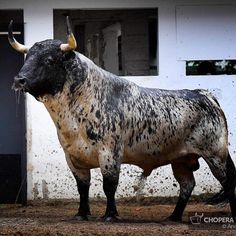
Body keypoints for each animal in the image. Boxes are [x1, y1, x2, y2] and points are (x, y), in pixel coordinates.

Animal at [8, 17, 235, 222]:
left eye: (48, 60)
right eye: (27, 58)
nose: (19, 80)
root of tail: (205, 94)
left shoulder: (109, 153)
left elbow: (109, 186)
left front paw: (110, 215)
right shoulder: (73, 157)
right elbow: (83, 187)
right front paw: (82, 214)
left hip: (215, 155)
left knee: (228, 181)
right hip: (181, 159)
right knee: (187, 185)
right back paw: (173, 217)